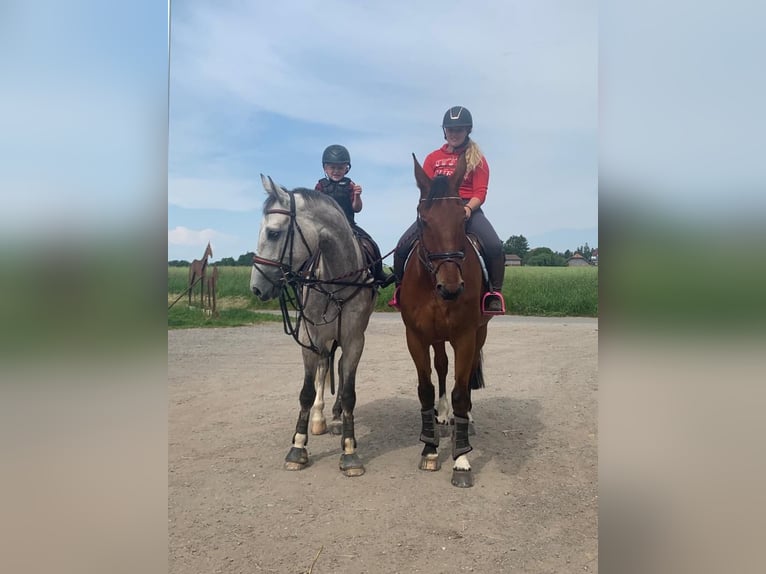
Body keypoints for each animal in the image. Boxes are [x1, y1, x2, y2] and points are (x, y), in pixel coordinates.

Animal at [250, 178, 380, 480]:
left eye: (273, 233)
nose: (256, 288)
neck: (335, 279)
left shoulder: (355, 340)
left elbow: (348, 391)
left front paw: (349, 450)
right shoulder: (310, 337)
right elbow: (307, 392)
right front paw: (298, 448)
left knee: (338, 367)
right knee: (324, 365)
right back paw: (319, 418)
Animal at [400, 154, 496, 490]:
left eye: (461, 220)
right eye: (423, 220)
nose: (451, 289)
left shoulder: (466, 337)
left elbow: (460, 391)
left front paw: (462, 459)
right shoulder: (415, 337)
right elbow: (426, 388)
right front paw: (429, 448)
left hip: (479, 332)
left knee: (464, 380)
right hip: (437, 336)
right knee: (441, 366)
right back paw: (442, 415)